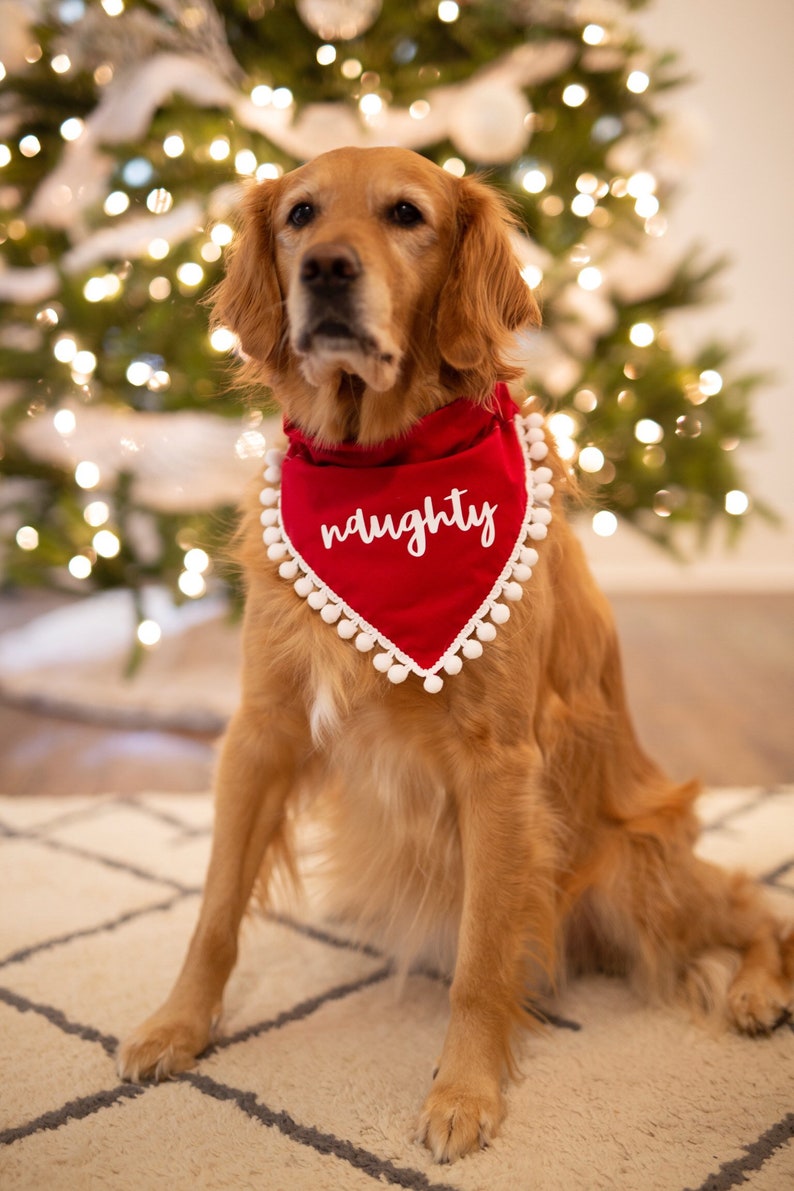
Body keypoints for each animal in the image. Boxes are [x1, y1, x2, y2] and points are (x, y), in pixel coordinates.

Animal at [119, 148, 794, 1162]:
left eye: (406, 214)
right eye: (299, 214)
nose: (325, 268)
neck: (381, 467)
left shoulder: (498, 763)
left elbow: (481, 956)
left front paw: (464, 1092)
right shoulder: (262, 729)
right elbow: (215, 910)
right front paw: (177, 1024)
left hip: (637, 869)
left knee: (757, 907)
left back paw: (756, 990)